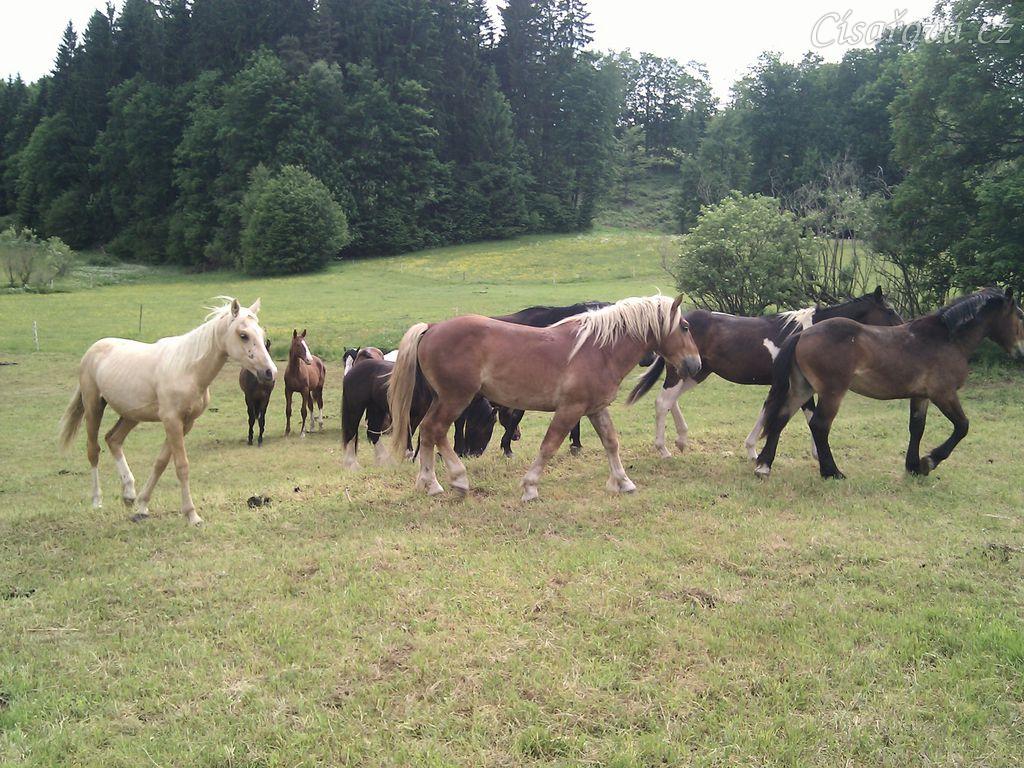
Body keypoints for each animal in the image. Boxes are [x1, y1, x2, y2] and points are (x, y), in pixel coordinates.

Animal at [58, 298, 275, 526]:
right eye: (243, 335)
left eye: (261, 333)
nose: (270, 372)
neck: (188, 369)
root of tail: (93, 350)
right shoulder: (172, 421)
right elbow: (181, 466)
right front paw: (192, 515)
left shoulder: (185, 423)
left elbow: (160, 463)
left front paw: (143, 505)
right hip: (93, 406)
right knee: (93, 449)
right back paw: (97, 500)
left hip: (130, 415)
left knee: (113, 439)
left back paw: (129, 494)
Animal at [340, 358, 496, 468]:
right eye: (486, 428)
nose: (477, 454)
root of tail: (352, 372)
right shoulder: (411, 414)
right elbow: (410, 434)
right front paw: (410, 456)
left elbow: (422, 436)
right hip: (356, 408)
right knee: (352, 433)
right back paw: (352, 465)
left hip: (376, 409)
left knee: (373, 435)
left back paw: (385, 461)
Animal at [387, 295, 701, 501]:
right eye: (685, 326)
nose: (695, 365)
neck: (598, 349)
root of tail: (433, 327)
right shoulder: (570, 409)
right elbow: (549, 446)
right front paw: (530, 487)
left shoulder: (596, 408)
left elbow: (611, 443)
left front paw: (623, 482)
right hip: (455, 398)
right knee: (435, 430)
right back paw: (457, 480)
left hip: (446, 399)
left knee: (429, 431)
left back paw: (432, 484)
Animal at [627, 287, 904, 458]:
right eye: (890, 311)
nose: (904, 328)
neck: (807, 332)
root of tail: (678, 320)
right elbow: (806, 415)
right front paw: (816, 453)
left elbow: (767, 409)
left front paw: (751, 450)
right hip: (683, 372)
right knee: (663, 402)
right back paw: (663, 450)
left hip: (695, 372)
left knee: (671, 401)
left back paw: (682, 440)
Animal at [753, 287, 1024, 480]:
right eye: (1020, 315)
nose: (1020, 353)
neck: (947, 338)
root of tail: (802, 334)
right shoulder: (943, 394)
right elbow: (962, 427)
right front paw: (929, 461)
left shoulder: (921, 396)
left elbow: (917, 427)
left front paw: (914, 466)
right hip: (832, 392)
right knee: (819, 426)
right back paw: (832, 472)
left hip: (802, 388)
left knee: (780, 419)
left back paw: (764, 466)